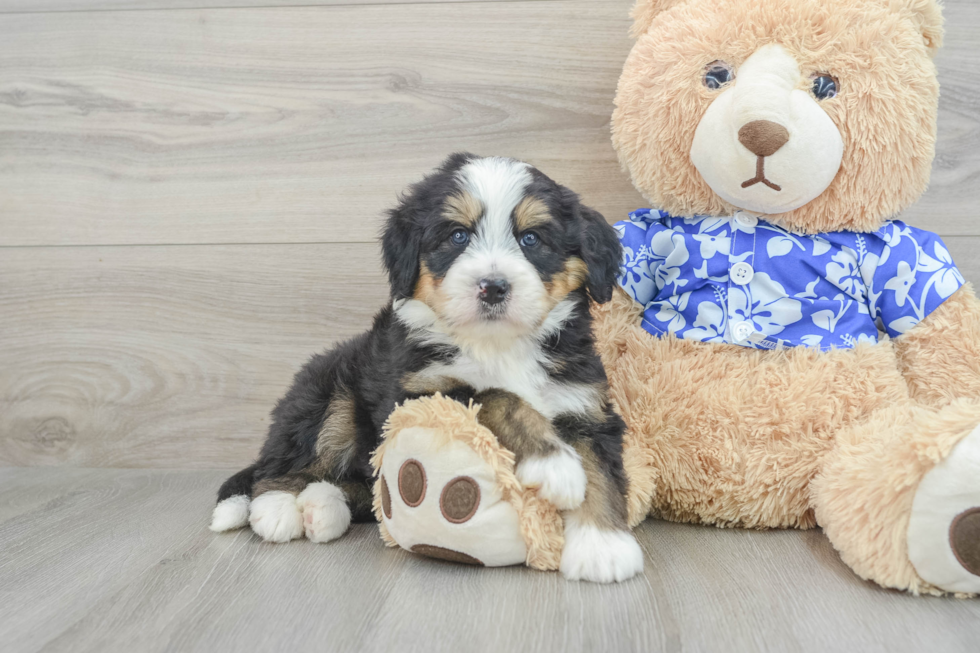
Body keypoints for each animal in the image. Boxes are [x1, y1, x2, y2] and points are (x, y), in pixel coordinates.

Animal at [211, 155, 644, 584]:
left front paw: (603, 548)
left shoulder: (584, 404)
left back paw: (323, 506)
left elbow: (601, 473)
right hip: (328, 393)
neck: (498, 345)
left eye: (531, 239)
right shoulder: (417, 393)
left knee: (360, 487)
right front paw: (554, 464)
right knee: (282, 464)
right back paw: (278, 508)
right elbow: (496, 396)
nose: (492, 287)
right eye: (458, 236)